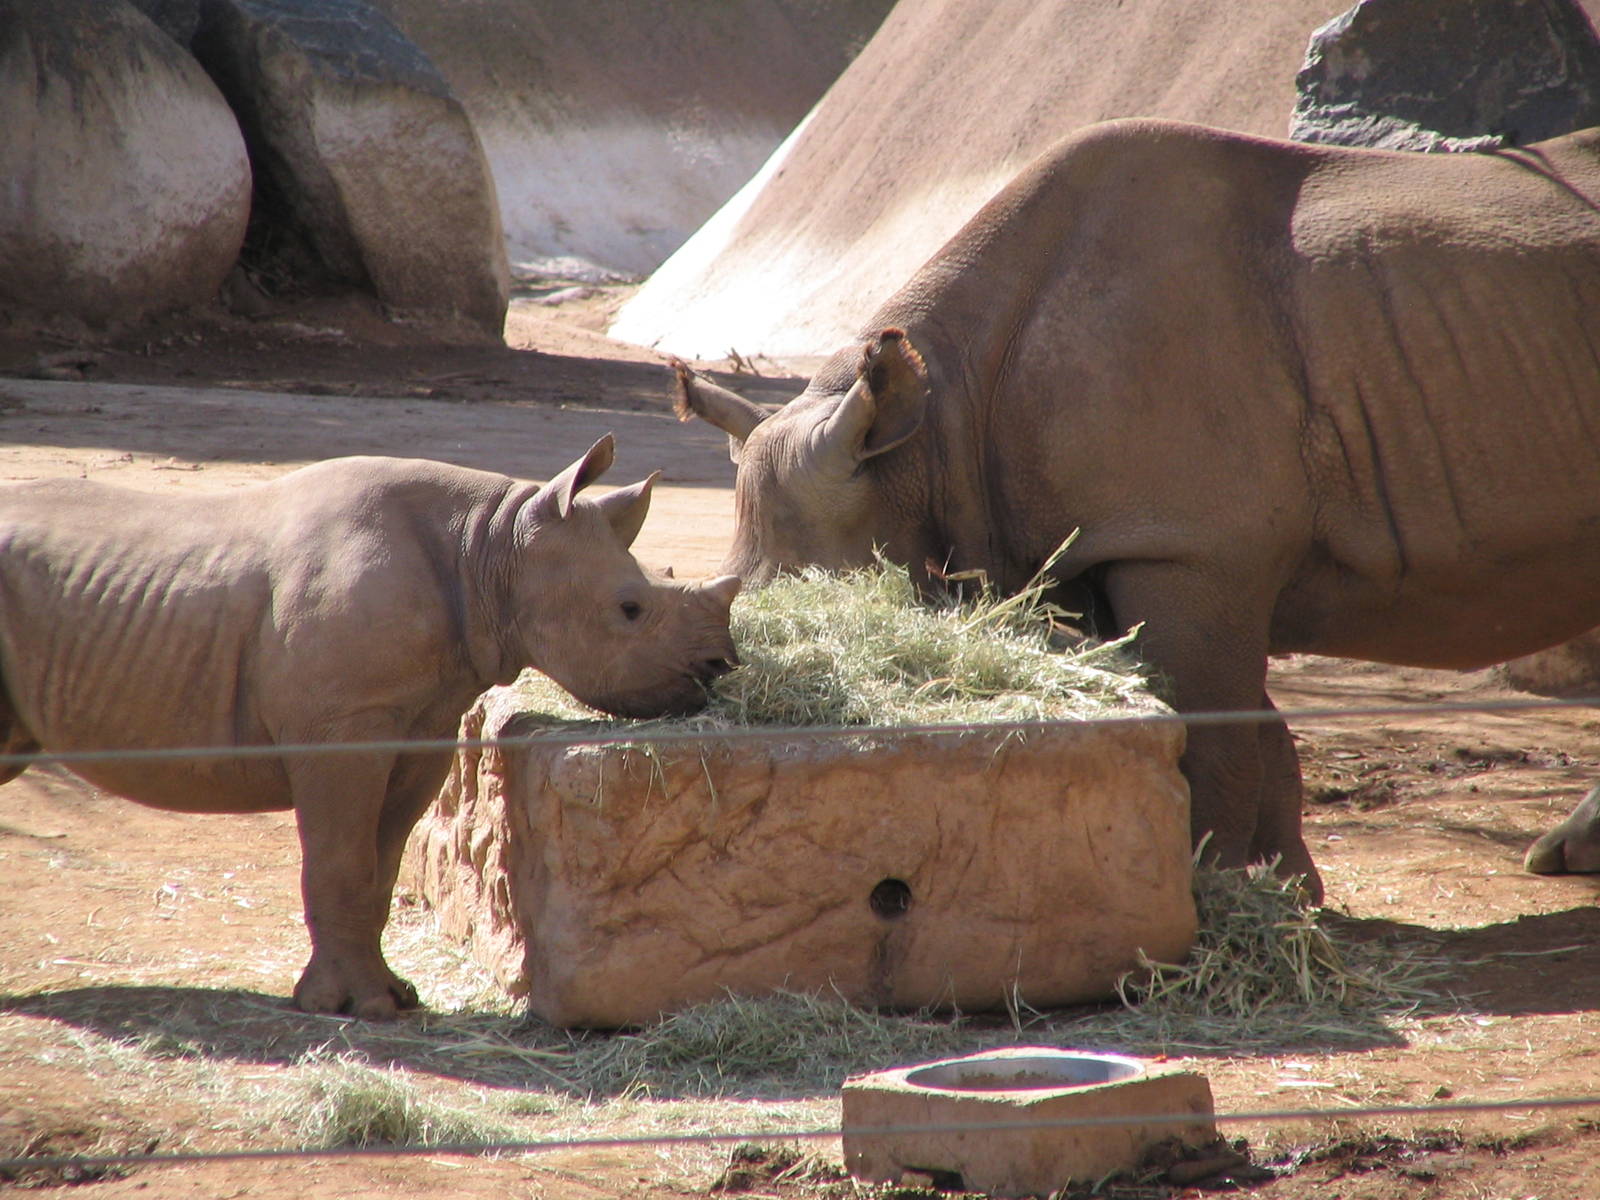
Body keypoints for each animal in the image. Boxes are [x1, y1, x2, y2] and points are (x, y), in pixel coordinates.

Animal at [0, 436, 740, 1018]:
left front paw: (393, 997)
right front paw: (347, 1008)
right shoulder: (344, 725)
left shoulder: (420, 724)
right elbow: (343, 859)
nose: (720, 668)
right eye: (630, 608)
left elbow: (381, 866)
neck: (491, 546)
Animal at [674, 116, 1600, 901]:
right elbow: (1251, 727)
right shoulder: (1161, 546)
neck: (934, 431)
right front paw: (1289, 892)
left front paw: (1214, 898)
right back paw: (1562, 858)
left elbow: (1214, 733)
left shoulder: (1192, 545)